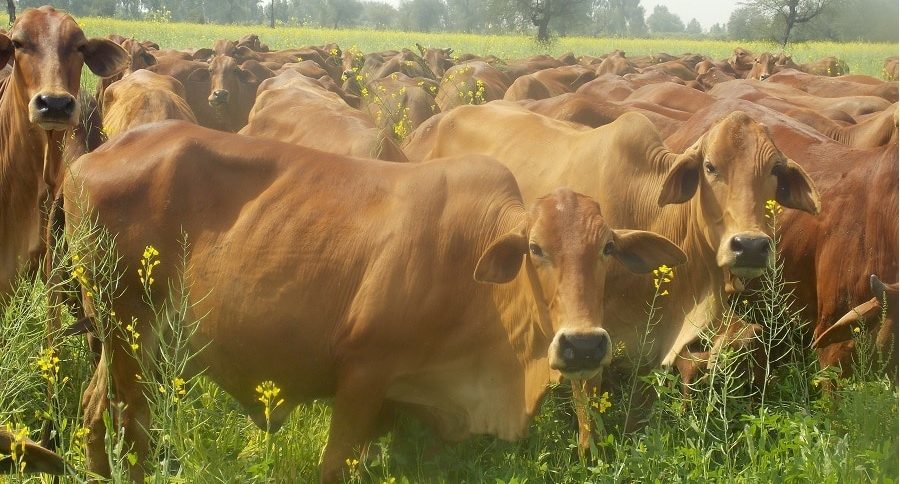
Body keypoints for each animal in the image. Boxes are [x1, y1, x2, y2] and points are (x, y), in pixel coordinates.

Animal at [65, 120, 686, 482]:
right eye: (536, 248)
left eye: (608, 248)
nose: (583, 346)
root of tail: (89, 159)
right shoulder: (363, 374)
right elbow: (333, 465)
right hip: (128, 332)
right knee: (132, 426)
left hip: (119, 341)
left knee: (94, 407)